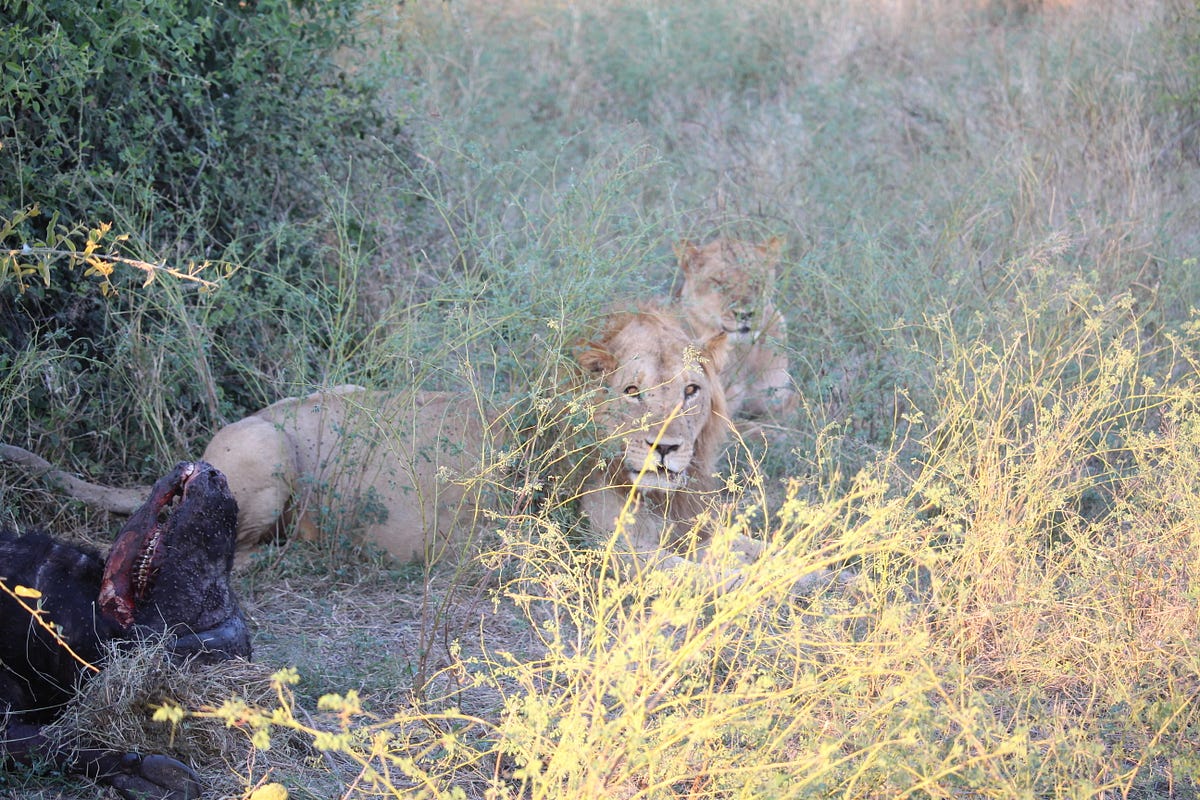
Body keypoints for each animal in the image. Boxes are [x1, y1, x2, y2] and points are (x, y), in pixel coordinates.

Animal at [199, 304, 758, 574]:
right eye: (632, 392)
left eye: (691, 391)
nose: (666, 450)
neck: (661, 498)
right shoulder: (614, 553)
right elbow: (719, 577)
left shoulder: (694, 522)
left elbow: (756, 549)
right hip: (263, 448)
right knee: (238, 557)